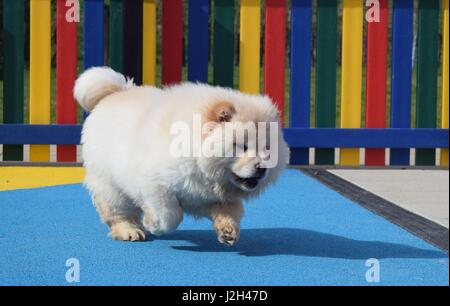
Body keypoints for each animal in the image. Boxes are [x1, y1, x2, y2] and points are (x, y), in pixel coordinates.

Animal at [74, 67, 288, 246]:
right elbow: (170, 213)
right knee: (117, 212)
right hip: (110, 186)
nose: (262, 168)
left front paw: (227, 231)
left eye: (267, 149)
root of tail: (116, 92)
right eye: (242, 146)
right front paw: (154, 224)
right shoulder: (154, 184)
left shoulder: (212, 197)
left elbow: (230, 212)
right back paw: (130, 230)